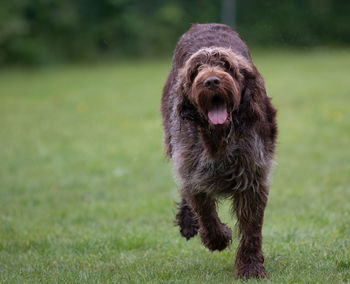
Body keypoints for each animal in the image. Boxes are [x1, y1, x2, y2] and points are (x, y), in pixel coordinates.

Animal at [160, 22, 278, 280]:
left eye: (226, 66)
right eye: (196, 70)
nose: (212, 81)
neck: (218, 138)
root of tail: (202, 25)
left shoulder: (253, 178)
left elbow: (251, 229)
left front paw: (250, 267)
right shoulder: (193, 171)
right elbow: (204, 210)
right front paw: (218, 238)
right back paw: (188, 222)